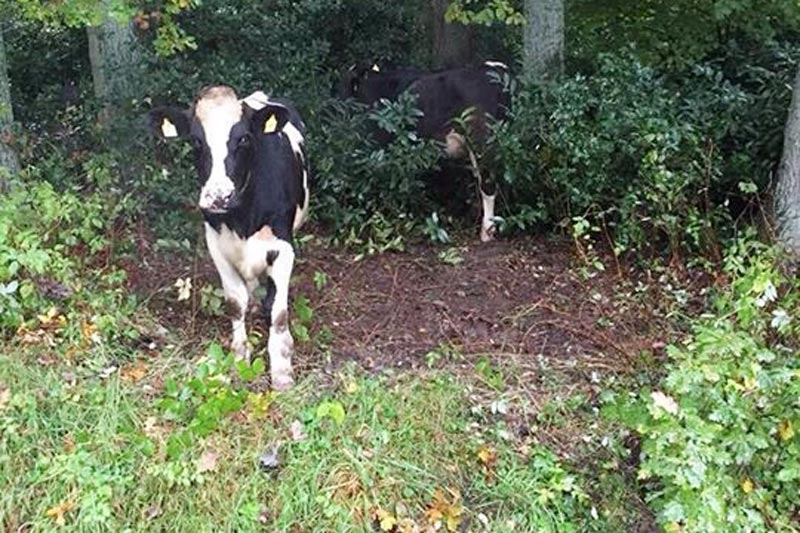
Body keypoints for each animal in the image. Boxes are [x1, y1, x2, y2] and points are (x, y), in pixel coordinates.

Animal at [151, 85, 310, 388]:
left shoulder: (283, 246)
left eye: (244, 138)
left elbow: (279, 312)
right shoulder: (216, 244)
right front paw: (239, 359)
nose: (218, 196)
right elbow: (236, 304)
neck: (242, 218)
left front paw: (282, 372)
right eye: (196, 141)